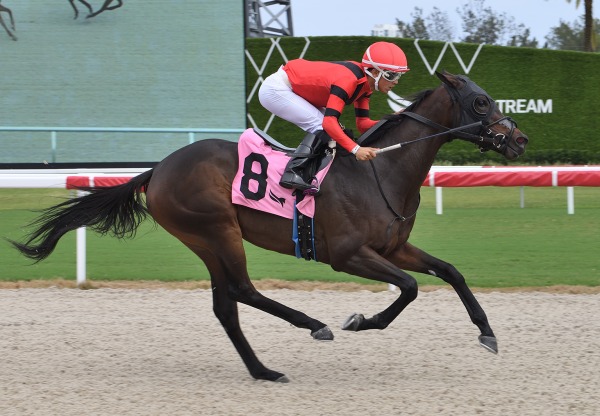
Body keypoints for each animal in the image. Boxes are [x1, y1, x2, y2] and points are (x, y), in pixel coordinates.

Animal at [10, 71, 528, 384]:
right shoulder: (348, 255)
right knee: (242, 289)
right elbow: (409, 288)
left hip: (204, 239)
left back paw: (262, 369)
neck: (380, 170)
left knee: (225, 304)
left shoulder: (393, 247)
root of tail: (156, 171)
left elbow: (450, 272)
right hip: (217, 230)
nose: (520, 139)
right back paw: (313, 326)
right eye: (480, 102)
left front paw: (487, 333)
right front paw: (362, 321)